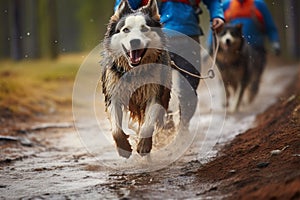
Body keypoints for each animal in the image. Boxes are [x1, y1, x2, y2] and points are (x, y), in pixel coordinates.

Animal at [100, 0, 171, 158]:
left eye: (144, 29)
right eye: (125, 30)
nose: (135, 42)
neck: (134, 71)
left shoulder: (154, 93)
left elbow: (148, 123)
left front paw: (144, 145)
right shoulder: (113, 94)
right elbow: (116, 129)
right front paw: (123, 147)